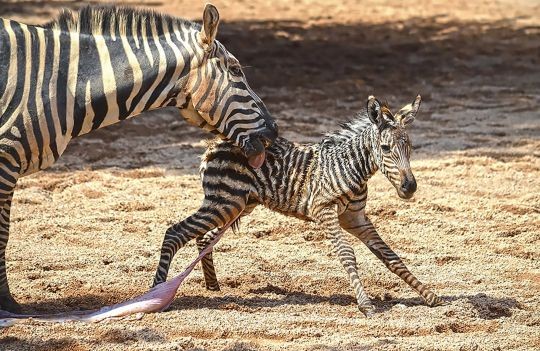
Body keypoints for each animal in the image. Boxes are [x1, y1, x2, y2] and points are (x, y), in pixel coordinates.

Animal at [0, 4, 278, 314]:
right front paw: (7, 301)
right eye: (236, 70)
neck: (60, 85)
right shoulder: (6, 160)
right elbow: (3, 233)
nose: (274, 131)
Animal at [155, 94, 442, 316]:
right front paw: (366, 305)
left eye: (411, 148)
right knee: (175, 233)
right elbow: (347, 254)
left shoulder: (355, 218)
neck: (351, 168)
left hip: (237, 204)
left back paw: (213, 285)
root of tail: (216, 143)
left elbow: (390, 256)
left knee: (203, 238)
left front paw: (429, 295)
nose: (409, 187)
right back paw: (157, 293)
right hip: (224, 202)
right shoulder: (325, 212)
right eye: (385, 148)